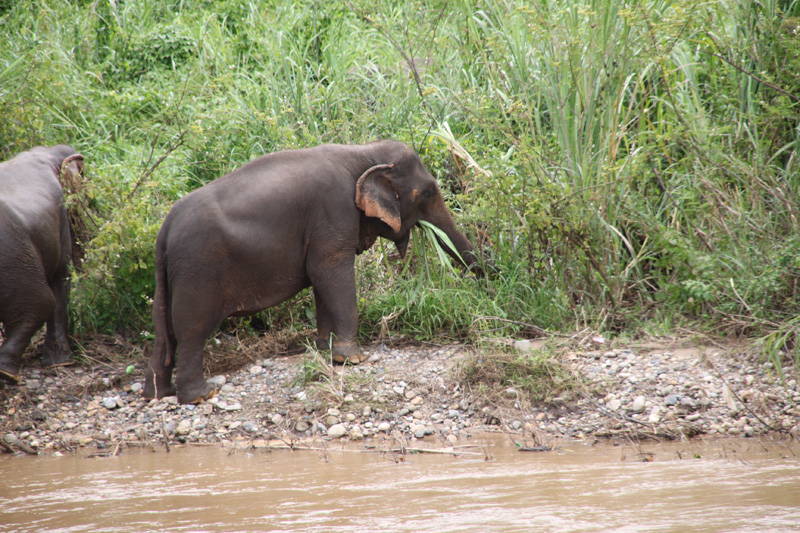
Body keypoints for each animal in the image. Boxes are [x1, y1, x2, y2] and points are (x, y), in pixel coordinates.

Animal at [143, 140, 484, 404]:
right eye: (428, 192)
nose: (486, 286)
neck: (362, 152)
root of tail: (165, 229)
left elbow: (321, 280)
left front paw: (326, 350)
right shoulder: (334, 213)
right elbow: (330, 271)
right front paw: (353, 359)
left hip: (169, 276)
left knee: (163, 330)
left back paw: (158, 394)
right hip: (197, 269)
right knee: (192, 328)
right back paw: (201, 396)